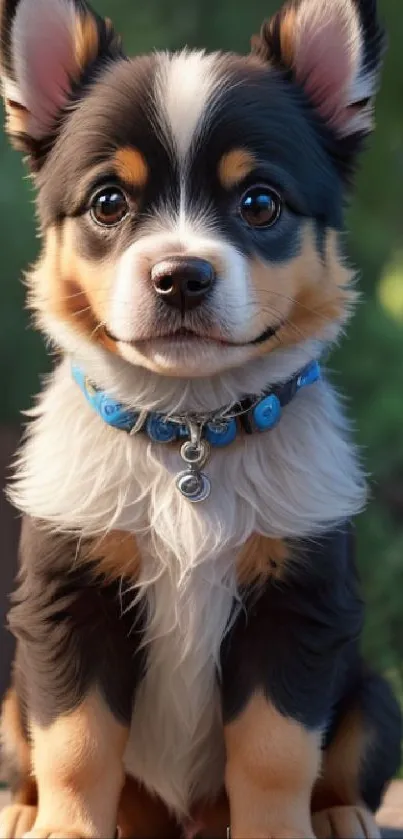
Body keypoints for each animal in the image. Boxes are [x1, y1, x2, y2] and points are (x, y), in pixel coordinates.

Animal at [0, 0, 402, 836]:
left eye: (259, 202)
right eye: (108, 202)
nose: (179, 277)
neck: (188, 431)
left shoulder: (301, 603)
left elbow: (276, 750)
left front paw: (278, 830)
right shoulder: (64, 598)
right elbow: (75, 741)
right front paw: (64, 825)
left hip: (376, 690)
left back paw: (341, 813)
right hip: (11, 691)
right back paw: (24, 809)